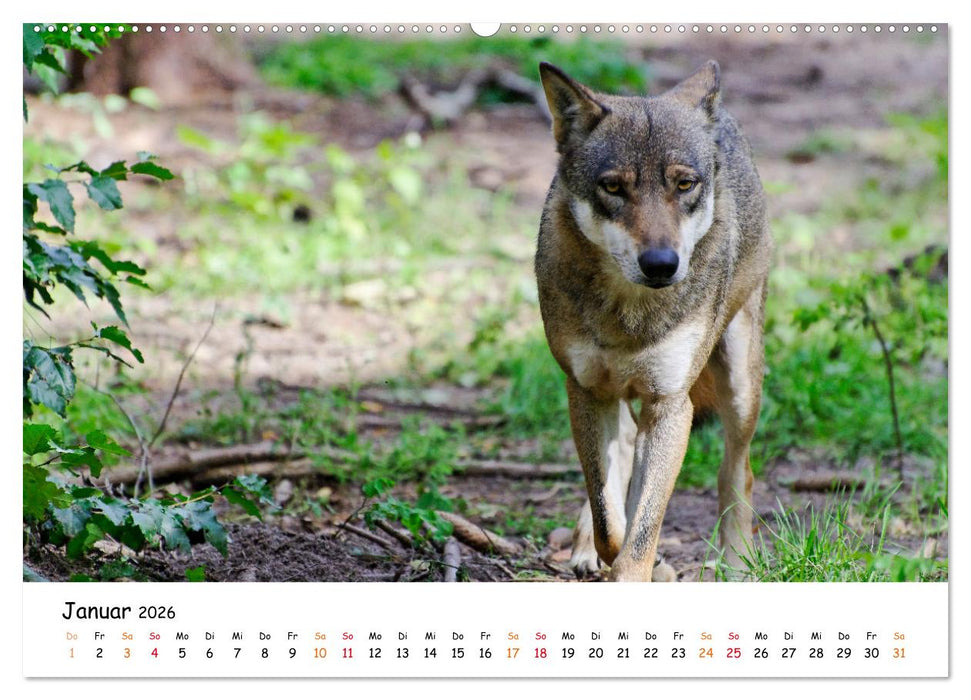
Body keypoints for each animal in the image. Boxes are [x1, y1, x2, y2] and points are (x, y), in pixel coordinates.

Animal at [535, 60, 771, 581]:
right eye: (613, 187)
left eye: (683, 185)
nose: (661, 264)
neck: (630, 315)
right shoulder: (585, 391)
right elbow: (610, 518)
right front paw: (622, 554)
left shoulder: (669, 405)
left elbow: (644, 524)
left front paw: (641, 570)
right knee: (618, 460)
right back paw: (584, 547)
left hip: (740, 387)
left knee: (737, 471)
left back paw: (737, 562)